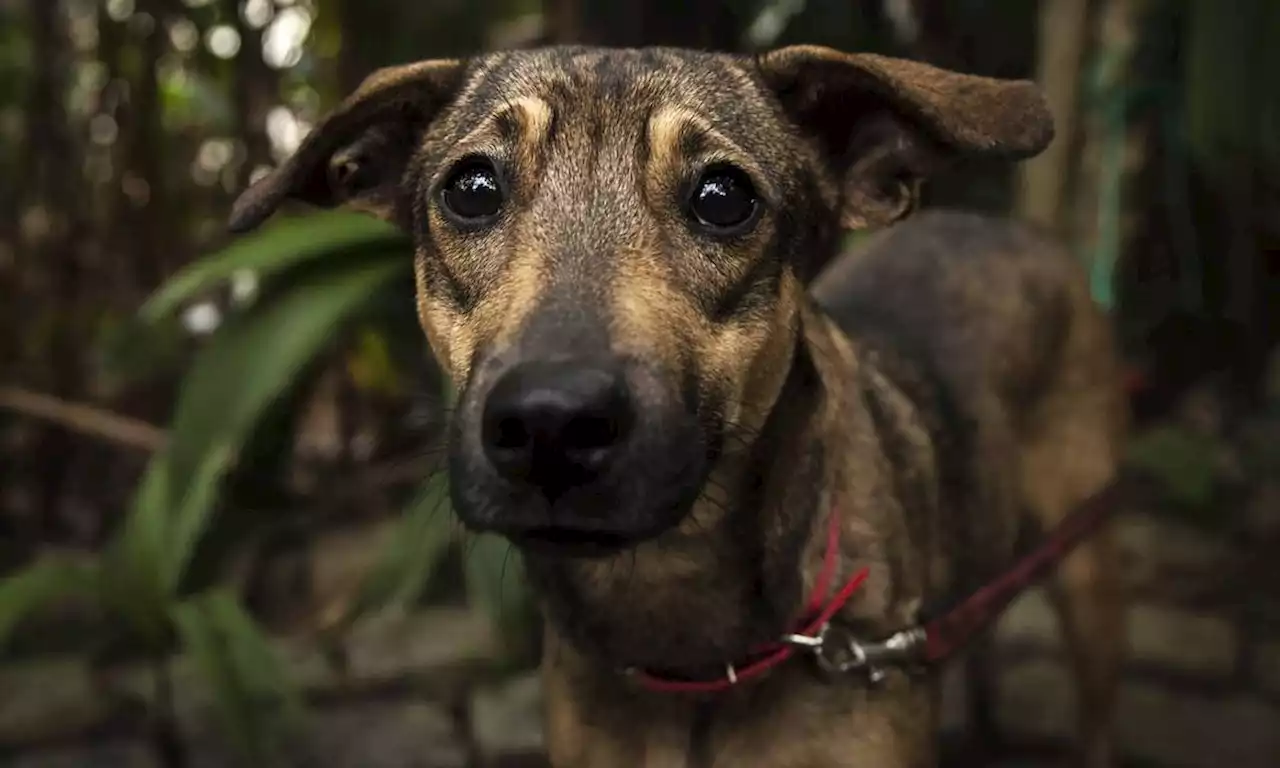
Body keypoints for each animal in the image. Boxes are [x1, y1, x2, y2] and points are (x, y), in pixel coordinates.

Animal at [232, 46, 1131, 768]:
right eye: (472, 188)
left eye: (723, 196)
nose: (551, 423)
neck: (686, 637)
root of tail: (1015, 231)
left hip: (1087, 569)